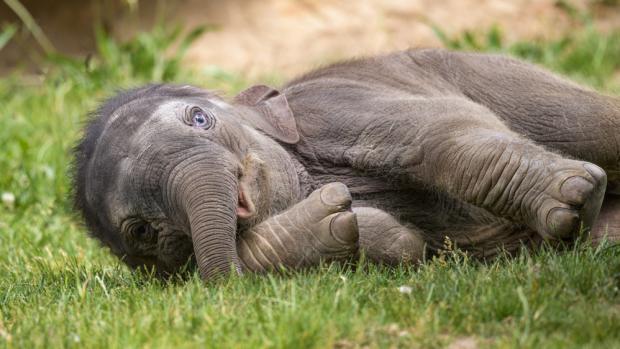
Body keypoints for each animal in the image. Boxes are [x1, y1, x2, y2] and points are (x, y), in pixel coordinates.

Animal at [74, 49, 620, 282]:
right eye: (142, 232)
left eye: (200, 118)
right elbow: (400, 245)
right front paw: (333, 219)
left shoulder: (335, 106)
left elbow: (438, 133)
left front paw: (572, 199)